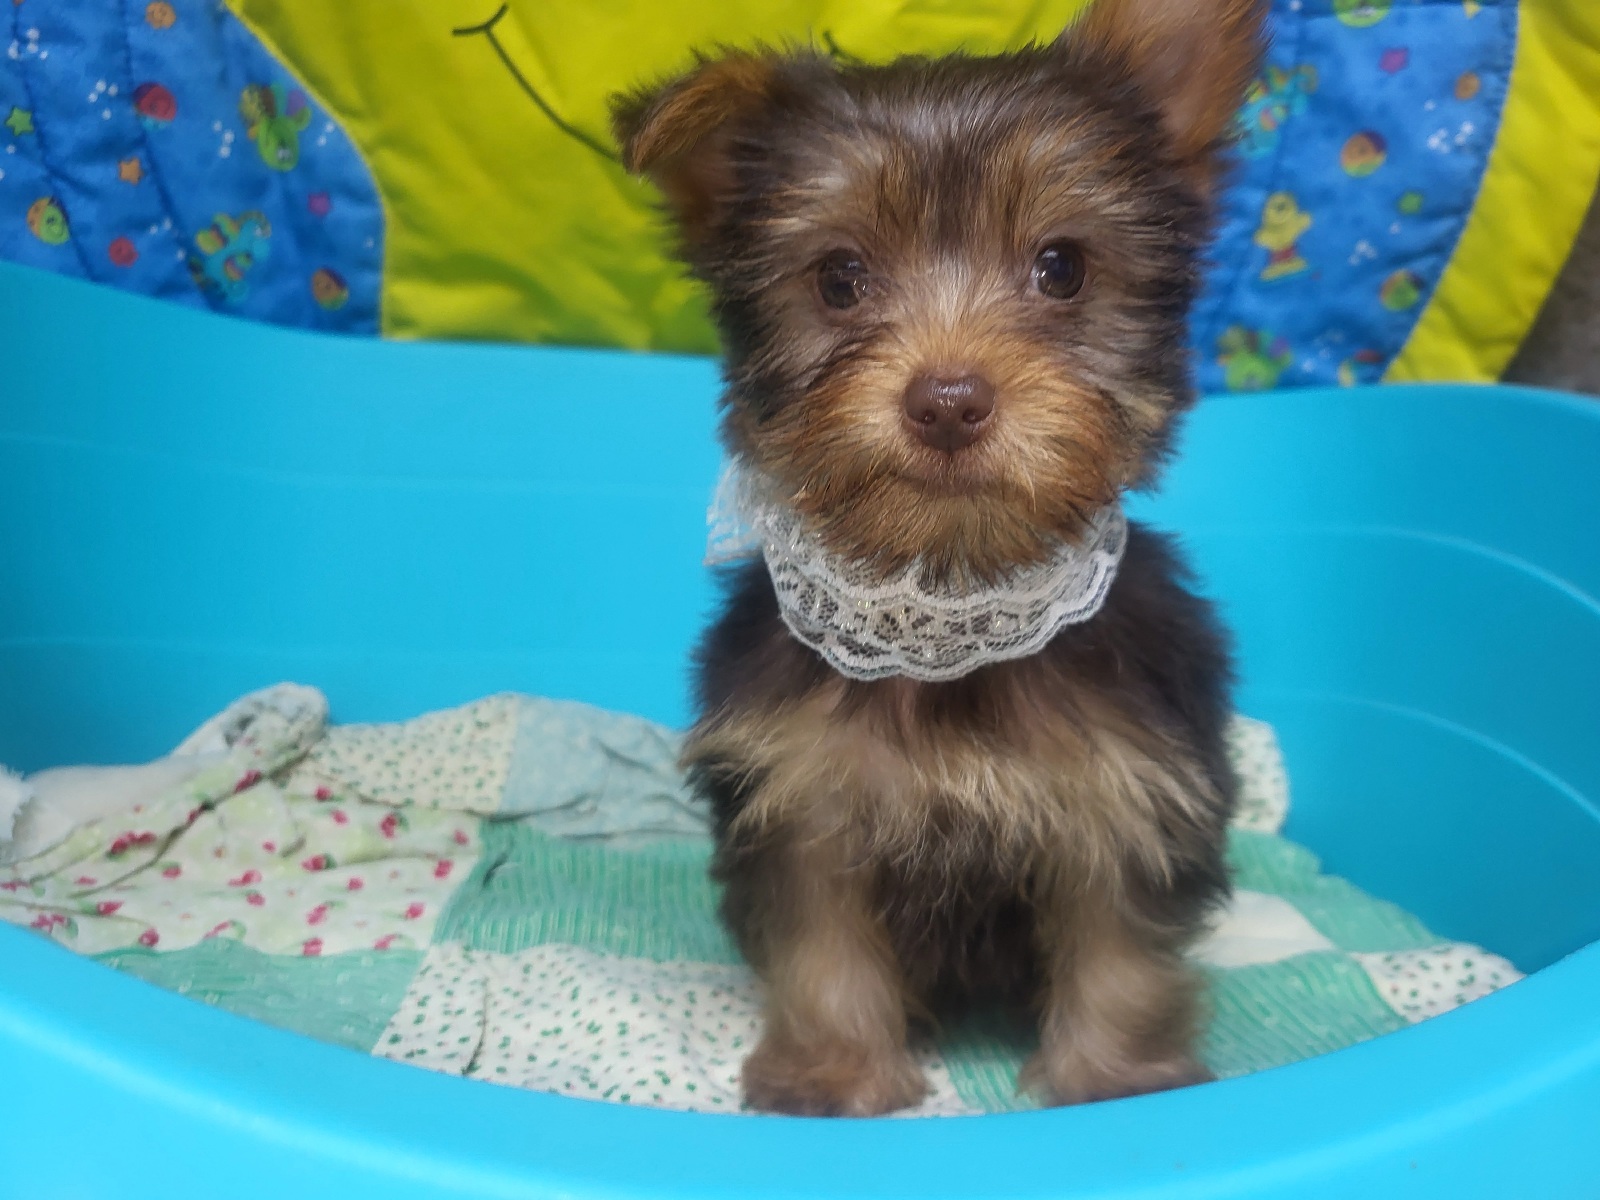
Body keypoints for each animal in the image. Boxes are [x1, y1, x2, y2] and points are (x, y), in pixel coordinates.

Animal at [611, 0, 1266, 1116]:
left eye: (1062, 267)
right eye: (839, 278)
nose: (949, 400)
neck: (947, 605)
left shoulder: (1125, 792)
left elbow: (1119, 952)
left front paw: (1113, 1082)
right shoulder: (804, 801)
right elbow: (822, 949)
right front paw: (833, 1077)